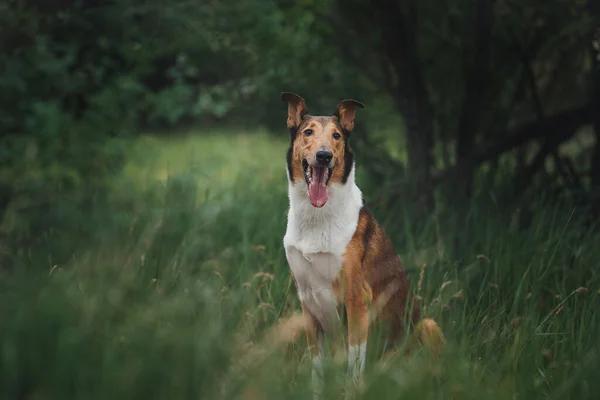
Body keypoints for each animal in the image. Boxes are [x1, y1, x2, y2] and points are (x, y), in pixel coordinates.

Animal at [282, 92, 446, 396]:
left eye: (336, 136)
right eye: (308, 132)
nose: (324, 156)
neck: (317, 217)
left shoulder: (357, 297)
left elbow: (355, 361)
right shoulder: (308, 302)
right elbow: (317, 365)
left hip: (427, 326)